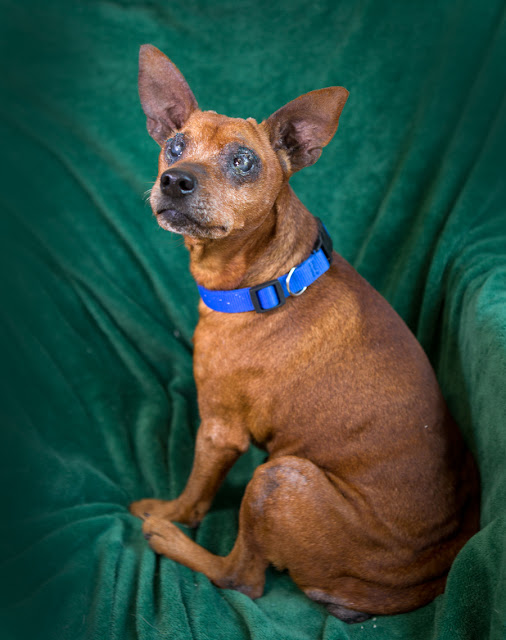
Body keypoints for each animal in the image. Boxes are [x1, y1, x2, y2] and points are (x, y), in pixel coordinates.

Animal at [130, 45, 480, 623]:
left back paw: (168, 539)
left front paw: (168, 512)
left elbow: (194, 495)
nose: (174, 179)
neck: (269, 282)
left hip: (278, 477)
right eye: (175, 145)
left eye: (243, 161)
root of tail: (406, 591)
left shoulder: (219, 429)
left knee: (242, 578)